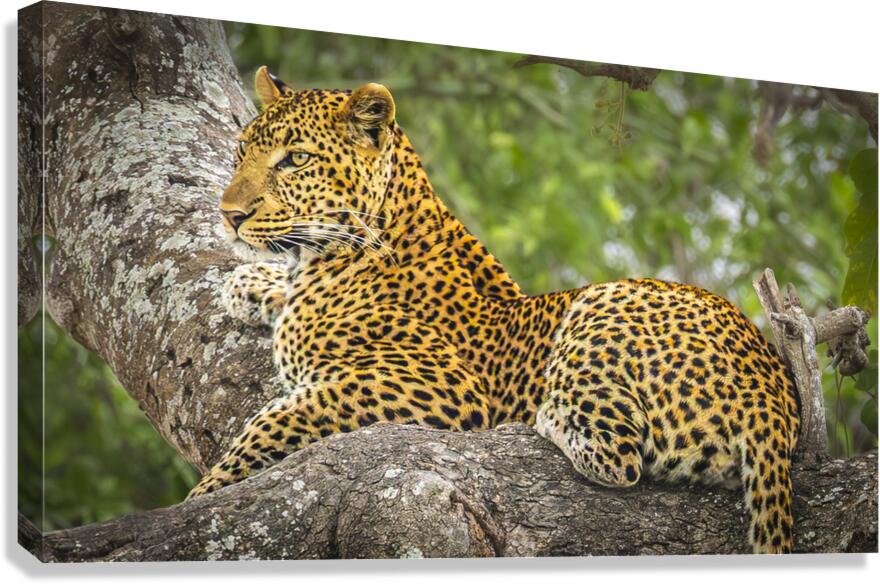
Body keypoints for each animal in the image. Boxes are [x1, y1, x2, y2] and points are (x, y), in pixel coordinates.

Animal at [187, 66, 801, 554]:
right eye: (241, 154)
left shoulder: (438, 388)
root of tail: (774, 404)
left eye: (295, 160)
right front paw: (249, 282)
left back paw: (546, 412)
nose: (229, 215)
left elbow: (271, 425)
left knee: (618, 453)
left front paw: (200, 498)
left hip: (602, 303)